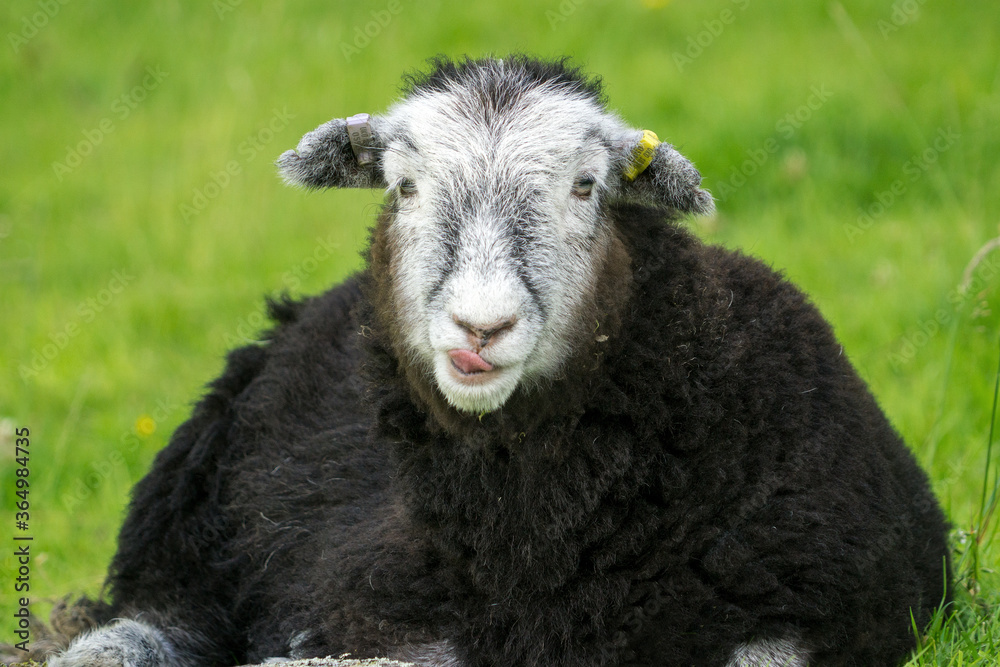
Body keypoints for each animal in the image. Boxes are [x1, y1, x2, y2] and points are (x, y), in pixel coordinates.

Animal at [48, 57, 952, 667]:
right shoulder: (375, 605)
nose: (480, 327)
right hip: (191, 541)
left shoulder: (819, 609)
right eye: (403, 186)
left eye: (588, 186)